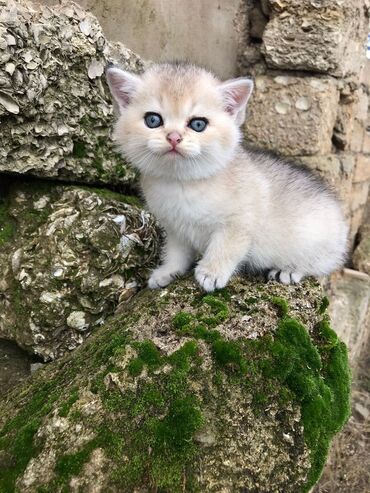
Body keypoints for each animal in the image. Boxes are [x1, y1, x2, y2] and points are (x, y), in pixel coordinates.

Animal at [105, 63, 348, 290]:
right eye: (153, 120)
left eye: (198, 124)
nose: (174, 137)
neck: (183, 183)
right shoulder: (175, 229)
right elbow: (177, 252)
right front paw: (169, 271)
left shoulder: (239, 222)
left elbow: (225, 247)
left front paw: (212, 272)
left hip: (313, 240)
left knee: (319, 265)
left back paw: (289, 270)